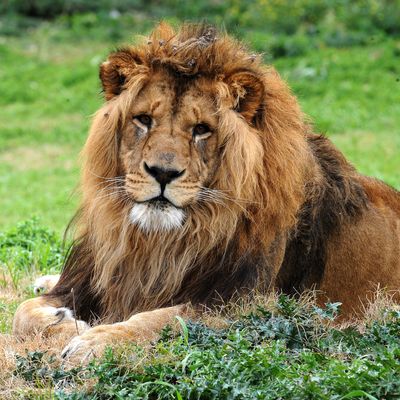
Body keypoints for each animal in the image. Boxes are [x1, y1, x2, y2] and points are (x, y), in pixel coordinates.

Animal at [12, 23, 400, 360]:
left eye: (201, 129)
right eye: (143, 120)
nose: (163, 173)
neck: (159, 241)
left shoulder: (247, 306)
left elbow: (161, 319)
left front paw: (93, 342)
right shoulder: (87, 278)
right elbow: (22, 313)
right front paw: (67, 323)